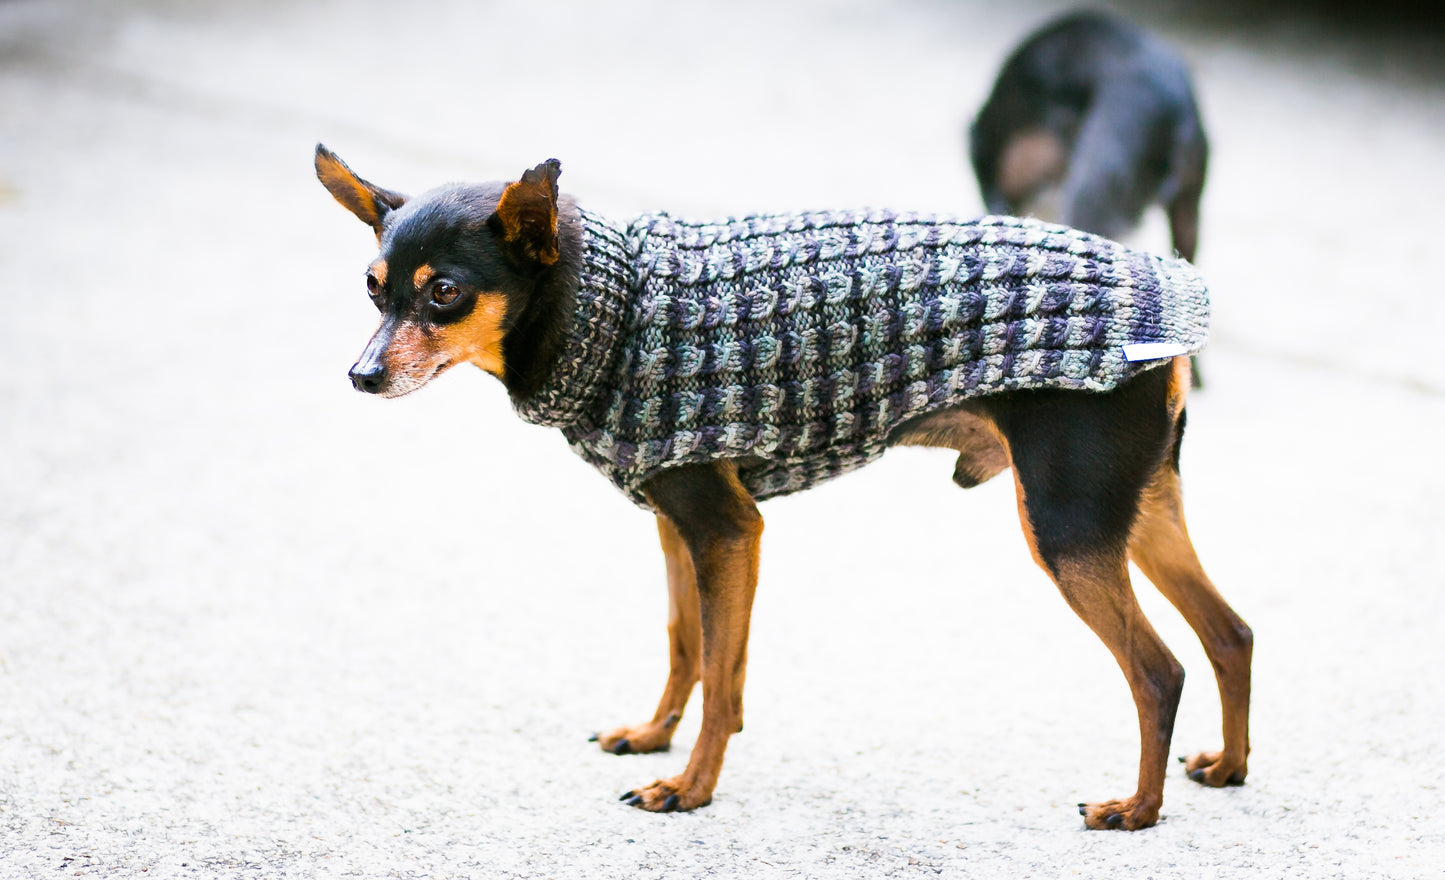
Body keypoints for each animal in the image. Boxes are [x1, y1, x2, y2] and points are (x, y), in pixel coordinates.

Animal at [319, 144, 1254, 832]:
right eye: (371, 288)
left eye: (444, 293)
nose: (362, 377)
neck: (608, 309)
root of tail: (1169, 313)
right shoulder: (679, 524)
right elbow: (689, 647)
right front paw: (653, 738)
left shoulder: (728, 531)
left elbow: (721, 680)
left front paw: (688, 790)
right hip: (1133, 513)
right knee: (1229, 633)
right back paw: (1227, 766)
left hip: (1064, 528)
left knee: (1158, 671)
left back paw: (1136, 809)